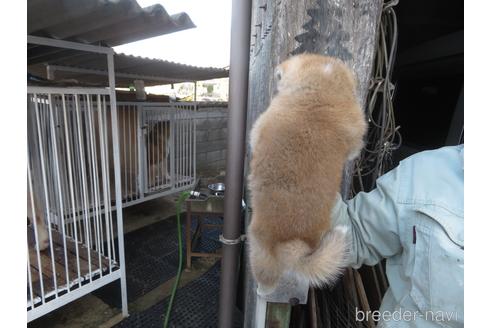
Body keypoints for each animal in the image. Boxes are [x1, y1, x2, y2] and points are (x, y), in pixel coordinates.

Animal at [248, 53, 368, 294]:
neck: (319, 95)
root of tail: (295, 247)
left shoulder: (258, 129)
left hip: (258, 252)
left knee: (267, 279)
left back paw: (262, 289)